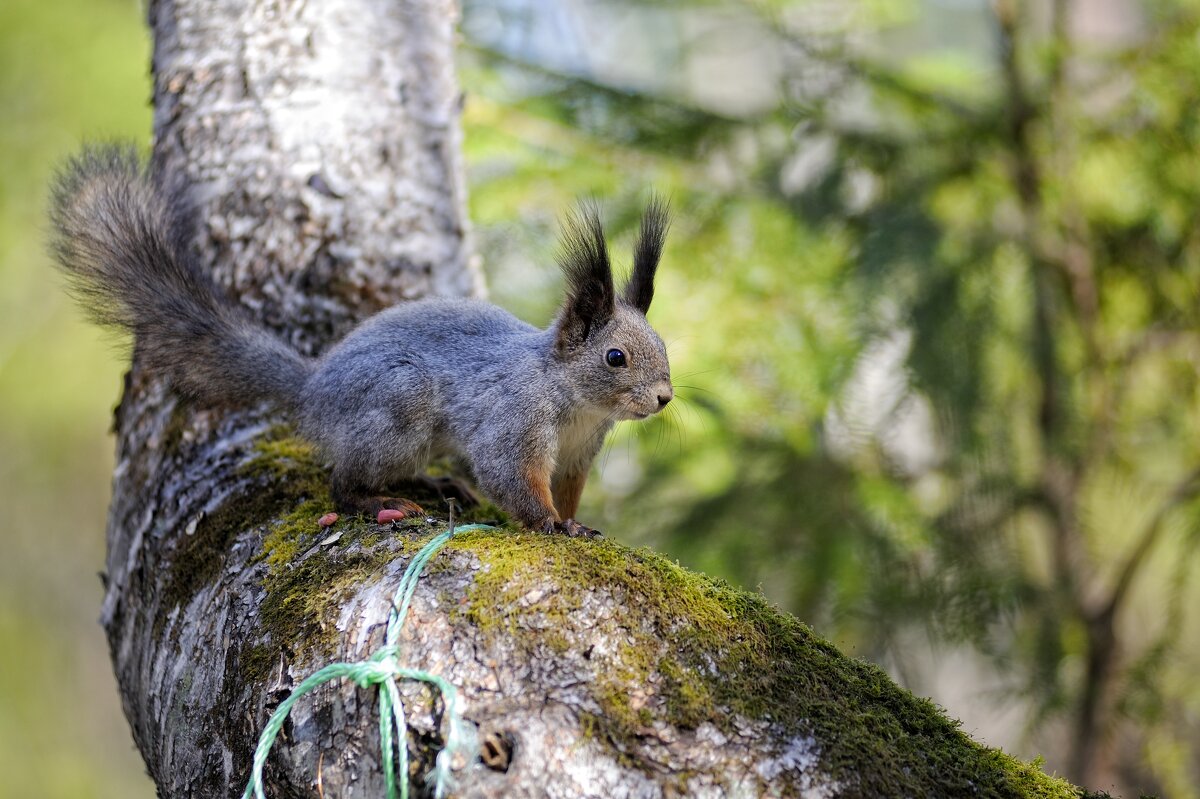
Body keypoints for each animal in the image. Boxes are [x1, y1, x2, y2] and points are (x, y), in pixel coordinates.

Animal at [51, 146, 676, 537]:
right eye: (615, 357)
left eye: (663, 346)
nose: (665, 398)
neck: (571, 397)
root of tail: (311, 387)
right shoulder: (513, 422)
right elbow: (512, 479)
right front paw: (548, 524)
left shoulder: (577, 454)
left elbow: (567, 491)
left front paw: (575, 522)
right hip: (399, 406)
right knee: (342, 482)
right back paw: (378, 499)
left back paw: (433, 481)